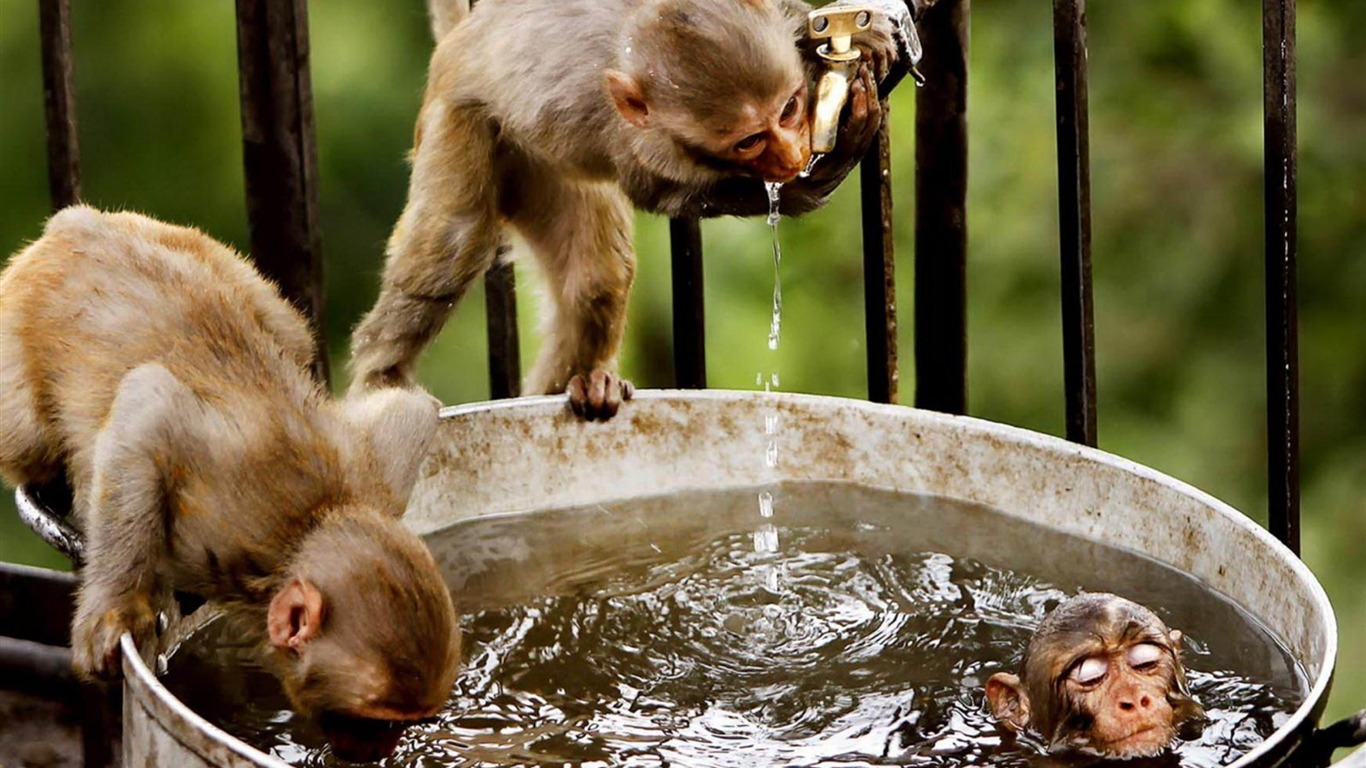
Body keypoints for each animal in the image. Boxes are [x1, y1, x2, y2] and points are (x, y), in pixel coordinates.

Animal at [0, 207, 459, 760]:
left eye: (408, 720)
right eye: (378, 720)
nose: (379, 749)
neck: (303, 529)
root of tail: (75, 225)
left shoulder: (375, 482)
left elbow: (414, 408)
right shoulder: (220, 520)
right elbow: (149, 402)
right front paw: (113, 610)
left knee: (290, 333)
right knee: (30, 439)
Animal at [350, 0, 908, 420]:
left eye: (790, 108)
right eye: (749, 140)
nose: (793, 155)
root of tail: (456, 42)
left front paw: (856, 37)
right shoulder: (643, 147)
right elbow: (672, 193)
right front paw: (831, 158)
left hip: (543, 168)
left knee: (597, 277)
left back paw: (580, 384)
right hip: (462, 122)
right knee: (455, 241)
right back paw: (381, 377)